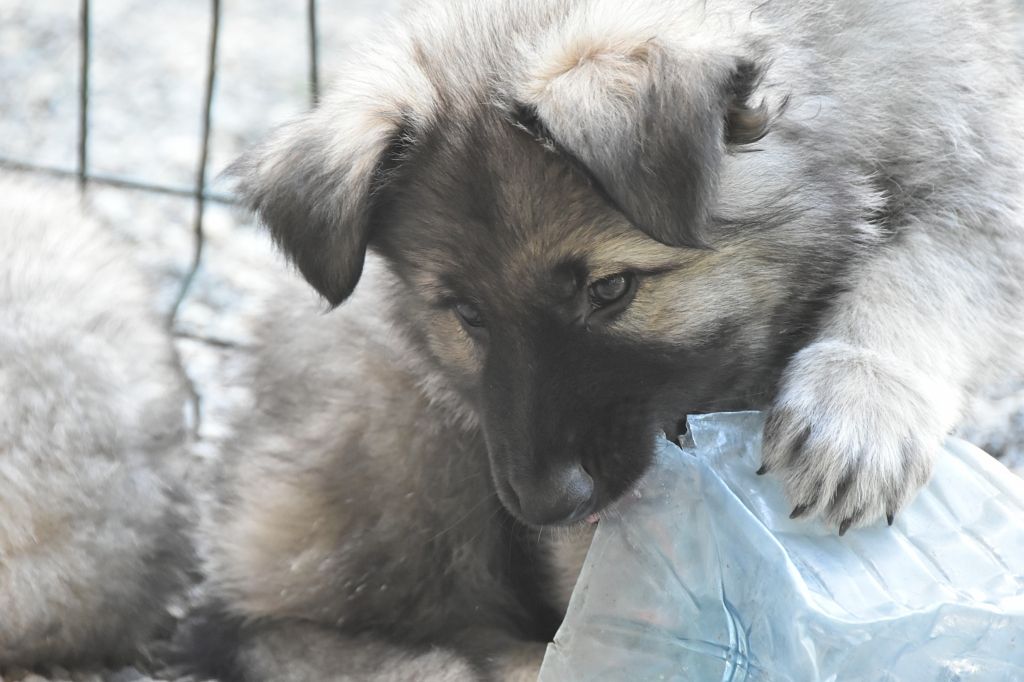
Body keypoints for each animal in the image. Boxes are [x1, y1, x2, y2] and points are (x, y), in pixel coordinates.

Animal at [194, 0, 1024, 679]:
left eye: (611, 290)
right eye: (466, 313)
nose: (544, 504)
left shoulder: (983, 182)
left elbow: (928, 273)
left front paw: (861, 402)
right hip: (405, 424)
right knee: (281, 623)